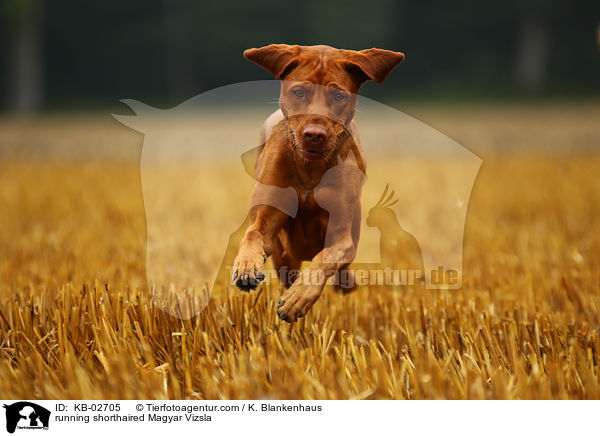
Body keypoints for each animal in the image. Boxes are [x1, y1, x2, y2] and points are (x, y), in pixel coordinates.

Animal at [232, 44, 406, 322]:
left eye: (338, 96)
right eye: (299, 92)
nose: (314, 134)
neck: (310, 169)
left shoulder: (343, 236)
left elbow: (325, 258)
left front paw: (297, 298)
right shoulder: (266, 220)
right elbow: (253, 234)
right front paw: (246, 266)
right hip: (283, 257)